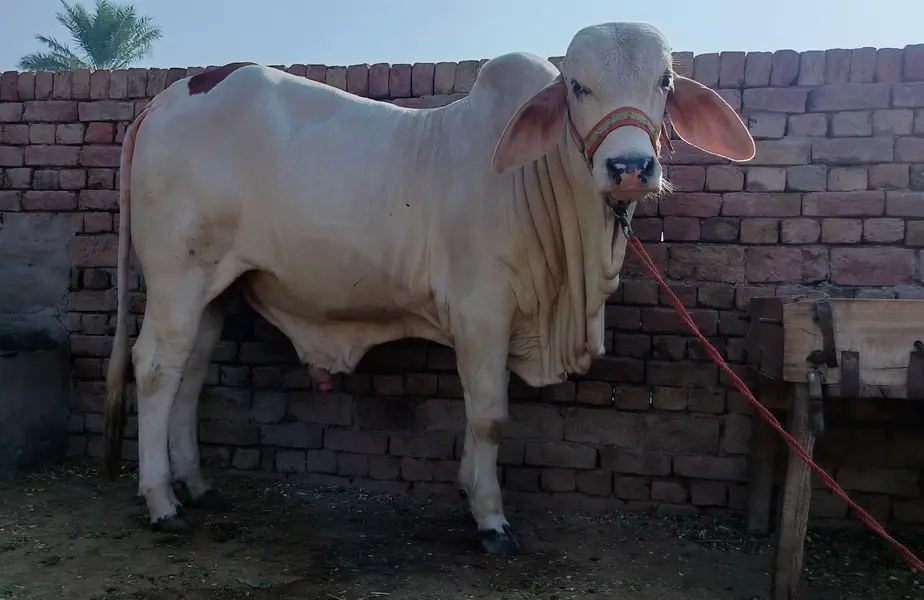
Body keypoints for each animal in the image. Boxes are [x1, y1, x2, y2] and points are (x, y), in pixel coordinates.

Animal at [103, 20, 755, 555]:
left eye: (664, 81)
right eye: (577, 86)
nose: (630, 168)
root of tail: (165, 97)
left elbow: (474, 416)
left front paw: (469, 493)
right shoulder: (483, 311)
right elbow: (489, 415)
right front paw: (491, 520)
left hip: (215, 289)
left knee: (190, 374)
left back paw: (195, 484)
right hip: (177, 276)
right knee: (155, 368)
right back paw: (162, 503)